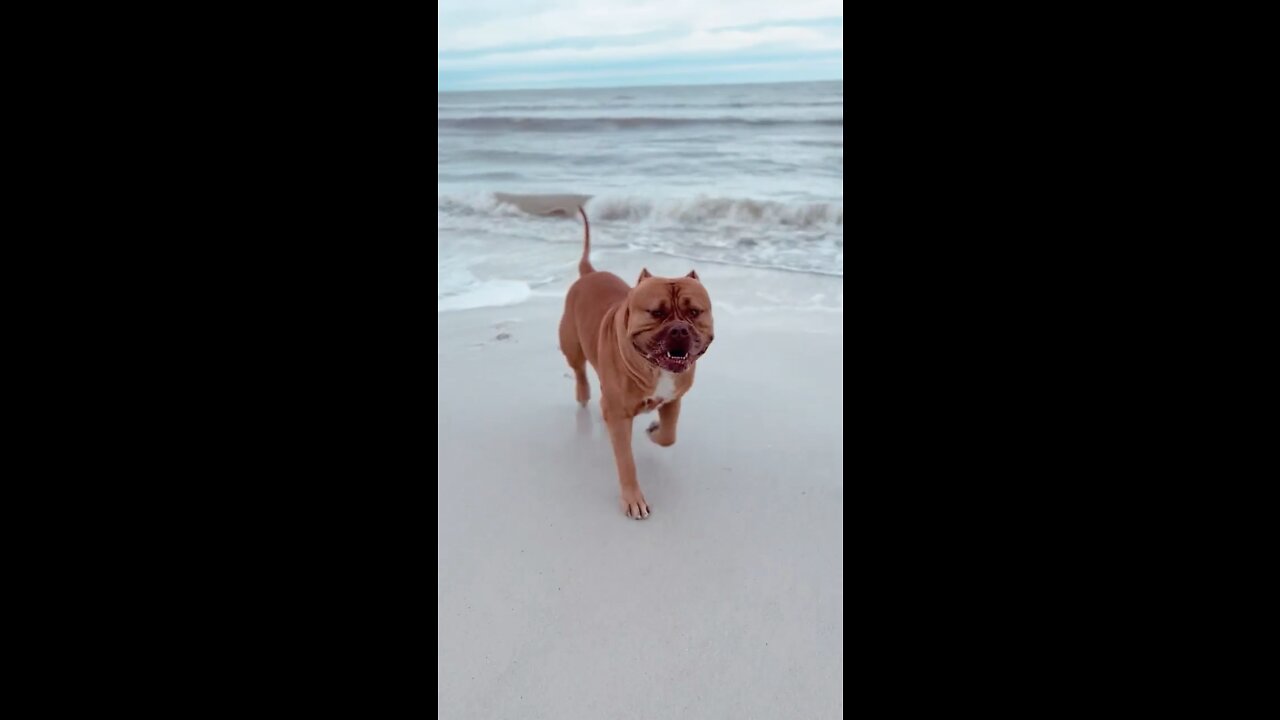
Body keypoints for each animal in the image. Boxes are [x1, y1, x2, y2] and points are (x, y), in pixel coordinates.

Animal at [552, 207, 711, 515]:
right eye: (656, 313)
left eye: (694, 312)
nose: (679, 329)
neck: (653, 367)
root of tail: (589, 272)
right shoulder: (619, 414)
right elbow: (626, 461)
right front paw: (632, 498)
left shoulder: (673, 399)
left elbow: (669, 435)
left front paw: (654, 431)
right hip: (571, 345)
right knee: (579, 371)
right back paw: (583, 393)